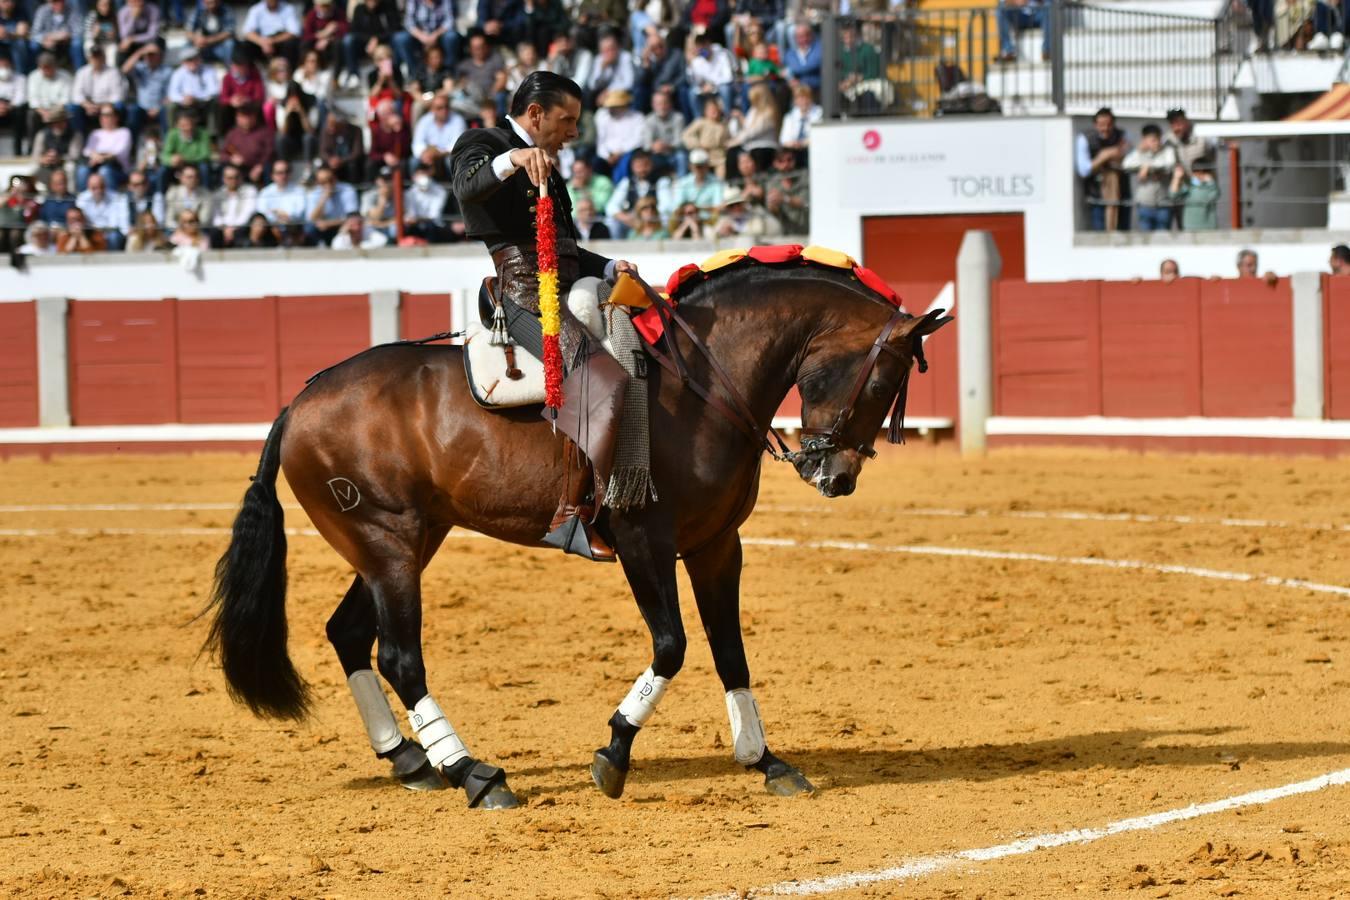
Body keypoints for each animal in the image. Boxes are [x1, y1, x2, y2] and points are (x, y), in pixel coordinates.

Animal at [205, 259, 955, 809]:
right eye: (883, 382)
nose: (836, 476)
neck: (702, 382)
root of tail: (299, 401)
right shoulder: (643, 541)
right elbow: (673, 645)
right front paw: (614, 753)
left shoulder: (717, 545)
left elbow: (730, 651)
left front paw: (767, 760)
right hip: (389, 544)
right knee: (398, 656)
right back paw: (474, 774)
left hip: (405, 542)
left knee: (348, 634)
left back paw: (411, 759)